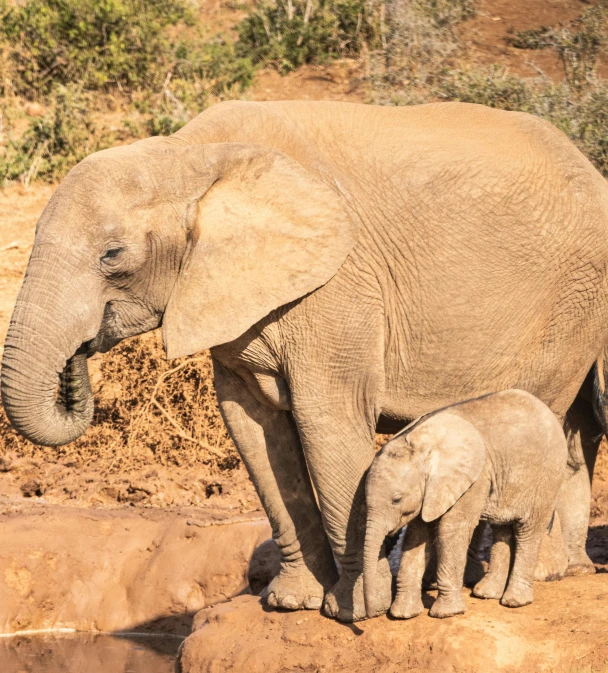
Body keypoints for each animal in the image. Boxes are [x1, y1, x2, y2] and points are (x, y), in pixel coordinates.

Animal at [364, 388, 568, 620]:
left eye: (396, 499)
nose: (371, 614)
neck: (422, 445)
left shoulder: (474, 478)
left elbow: (451, 530)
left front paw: (445, 613)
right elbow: (417, 535)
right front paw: (403, 615)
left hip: (548, 476)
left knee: (528, 530)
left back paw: (514, 601)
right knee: (502, 529)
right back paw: (486, 593)